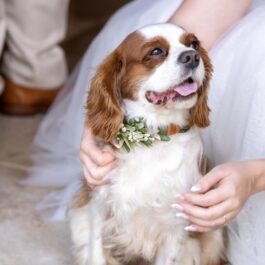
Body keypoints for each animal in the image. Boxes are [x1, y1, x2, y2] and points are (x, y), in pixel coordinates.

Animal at [69, 23, 225, 264]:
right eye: (156, 51)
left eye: (194, 44)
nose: (192, 56)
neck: (153, 137)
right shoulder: (99, 206)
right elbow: (95, 254)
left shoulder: (175, 225)